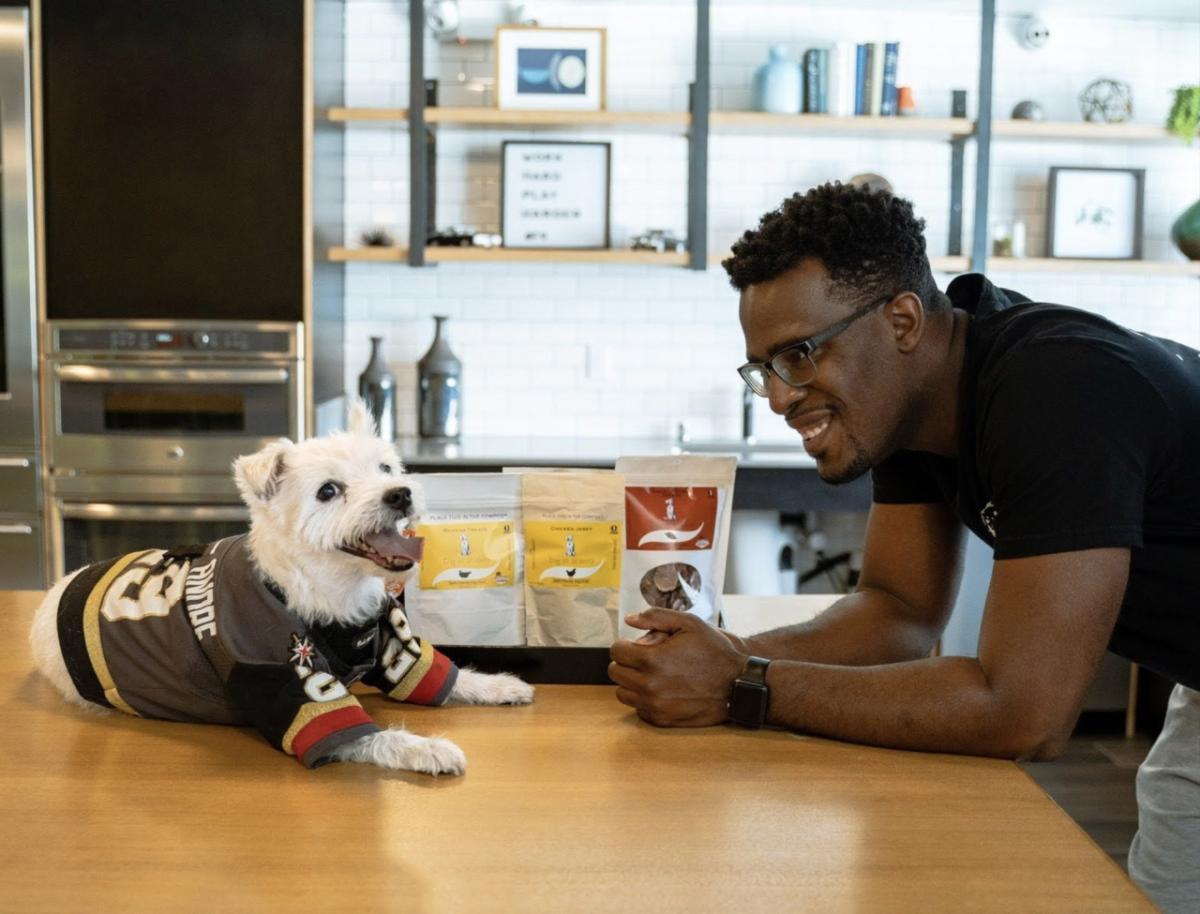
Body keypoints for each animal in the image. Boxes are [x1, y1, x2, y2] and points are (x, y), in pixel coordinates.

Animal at [27, 398, 535, 767]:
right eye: (328, 491)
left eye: (386, 469)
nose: (401, 494)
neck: (320, 588)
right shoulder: (282, 673)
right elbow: (370, 736)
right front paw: (430, 748)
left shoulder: (389, 642)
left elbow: (433, 672)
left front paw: (497, 685)